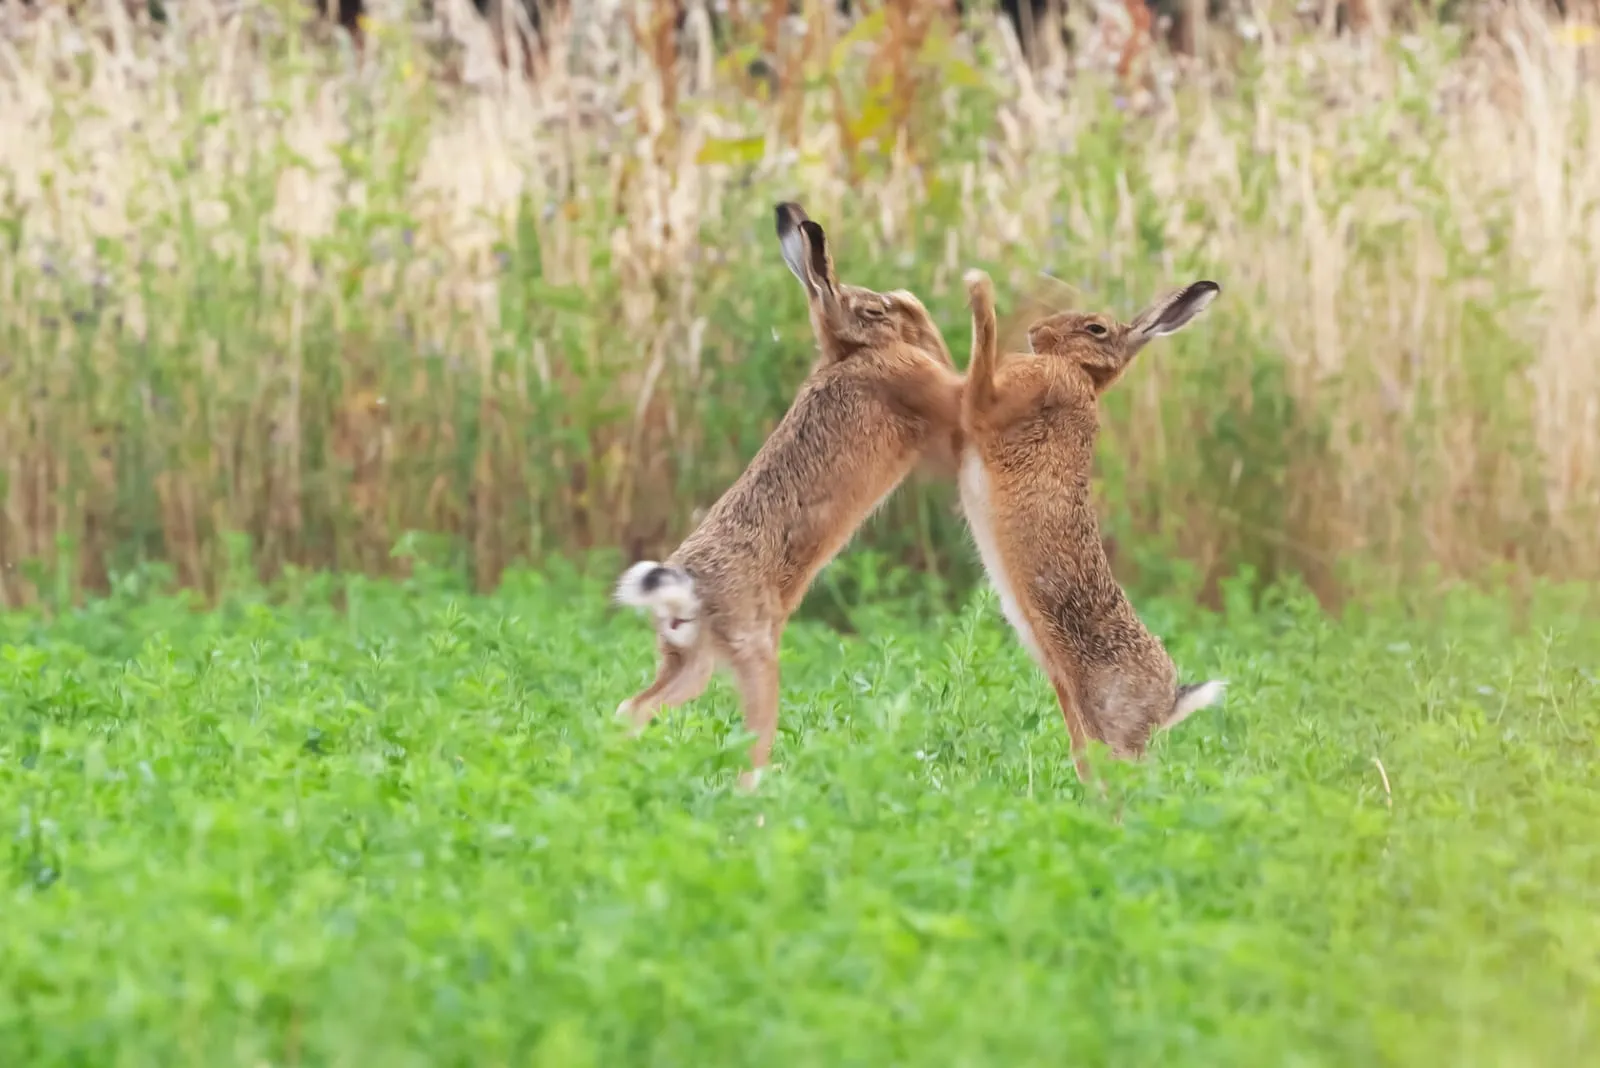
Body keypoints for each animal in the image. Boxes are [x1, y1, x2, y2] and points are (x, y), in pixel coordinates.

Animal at [612, 202, 964, 791]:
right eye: (874, 309)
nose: (909, 310)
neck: (851, 356)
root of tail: (683, 588)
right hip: (756, 657)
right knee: (750, 748)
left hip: (692, 663)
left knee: (634, 708)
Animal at [958, 268, 1226, 782]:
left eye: (1095, 328)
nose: (1036, 332)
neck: (1079, 375)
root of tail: (1170, 702)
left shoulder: (996, 402)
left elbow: (980, 362)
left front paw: (978, 288)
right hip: (1078, 714)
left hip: (1111, 724)